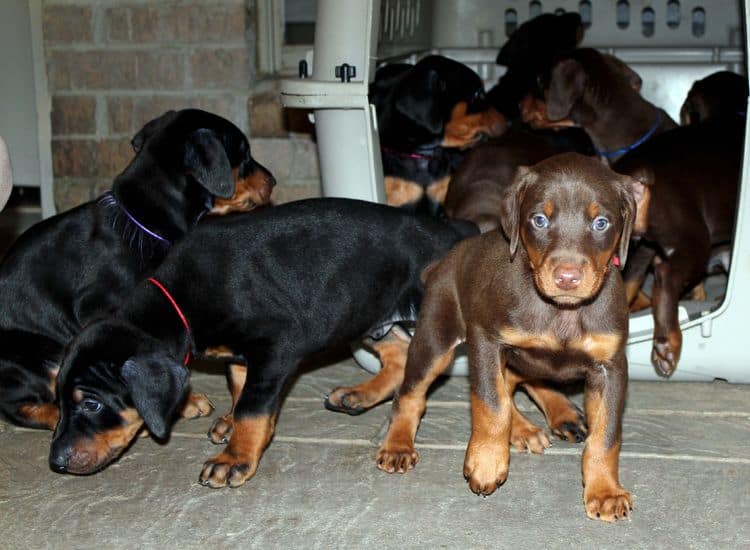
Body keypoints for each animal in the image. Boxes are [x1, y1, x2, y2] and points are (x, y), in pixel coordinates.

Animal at [0, 109, 276, 432]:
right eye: (243, 154)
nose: (273, 181)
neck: (143, 224)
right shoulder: (101, 308)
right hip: (36, 355)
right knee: (22, 405)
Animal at [50, 198, 478, 488]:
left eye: (91, 403)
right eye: (59, 401)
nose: (56, 462)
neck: (177, 302)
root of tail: (456, 233)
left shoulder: (278, 345)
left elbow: (253, 408)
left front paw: (235, 458)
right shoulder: (241, 353)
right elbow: (240, 385)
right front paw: (229, 423)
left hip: (430, 321)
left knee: (416, 385)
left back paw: (399, 444)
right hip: (366, 313)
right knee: (399, 354)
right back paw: (357, 396)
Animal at [378, 153, 636, 524]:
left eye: (601, 222)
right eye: (539, 219)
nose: (567, 277)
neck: (561, 310)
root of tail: (443, 261)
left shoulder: (610, 366)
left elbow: (607, 434)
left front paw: (605, 492)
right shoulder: (487, 341)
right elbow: (492, 403)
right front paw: (487, 461)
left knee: (522, 380)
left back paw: (553, 417)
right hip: (436, 336)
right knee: (412, 393)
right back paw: (399, 445)